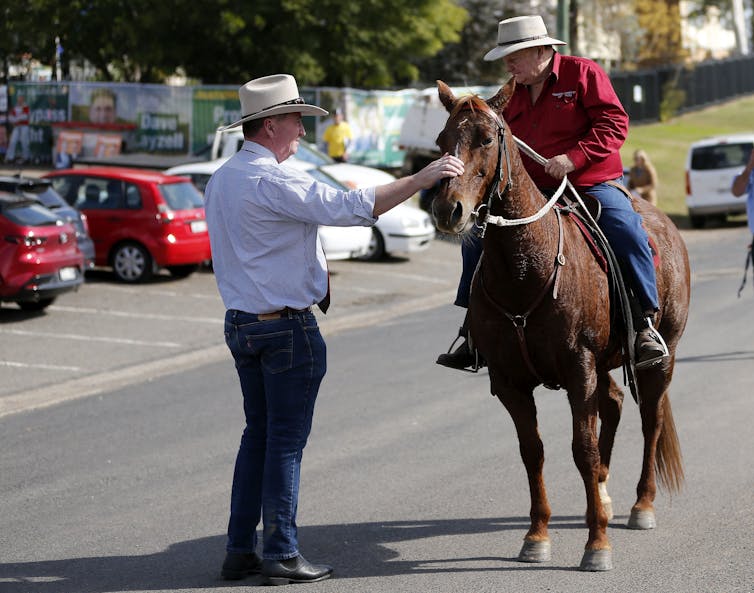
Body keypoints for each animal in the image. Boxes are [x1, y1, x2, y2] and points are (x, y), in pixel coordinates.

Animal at [432, 81, 692, 572]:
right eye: (441, 141)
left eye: (486, 139)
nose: (447, 210)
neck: (524, 267)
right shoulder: (510, 381)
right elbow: (532, 452)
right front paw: (537, 536)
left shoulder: (578, 369)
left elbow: (582, 450)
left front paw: (597, 544)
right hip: (605, 364)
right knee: (614, 404)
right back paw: (604, 497)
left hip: (659, 359)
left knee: (649, 421)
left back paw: (640, 505)